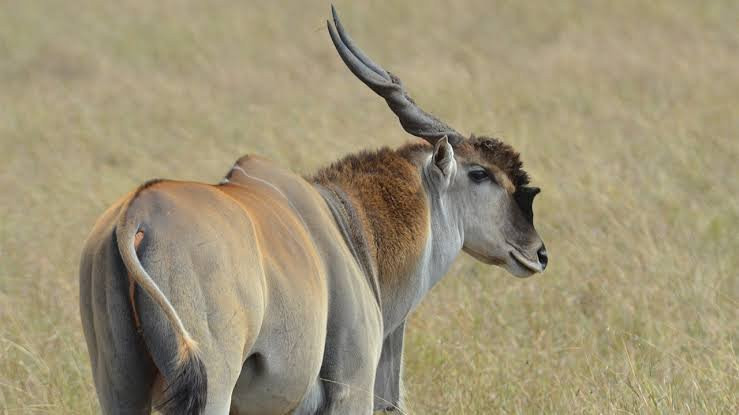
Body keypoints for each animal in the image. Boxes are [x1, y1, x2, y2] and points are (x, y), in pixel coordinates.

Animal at [81, 7, 548, 415]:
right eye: (480, 173)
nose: (538, 252)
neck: (350, 226)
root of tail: (135, 215)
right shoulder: (350, 391)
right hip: (211, 387)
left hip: (120, 389)